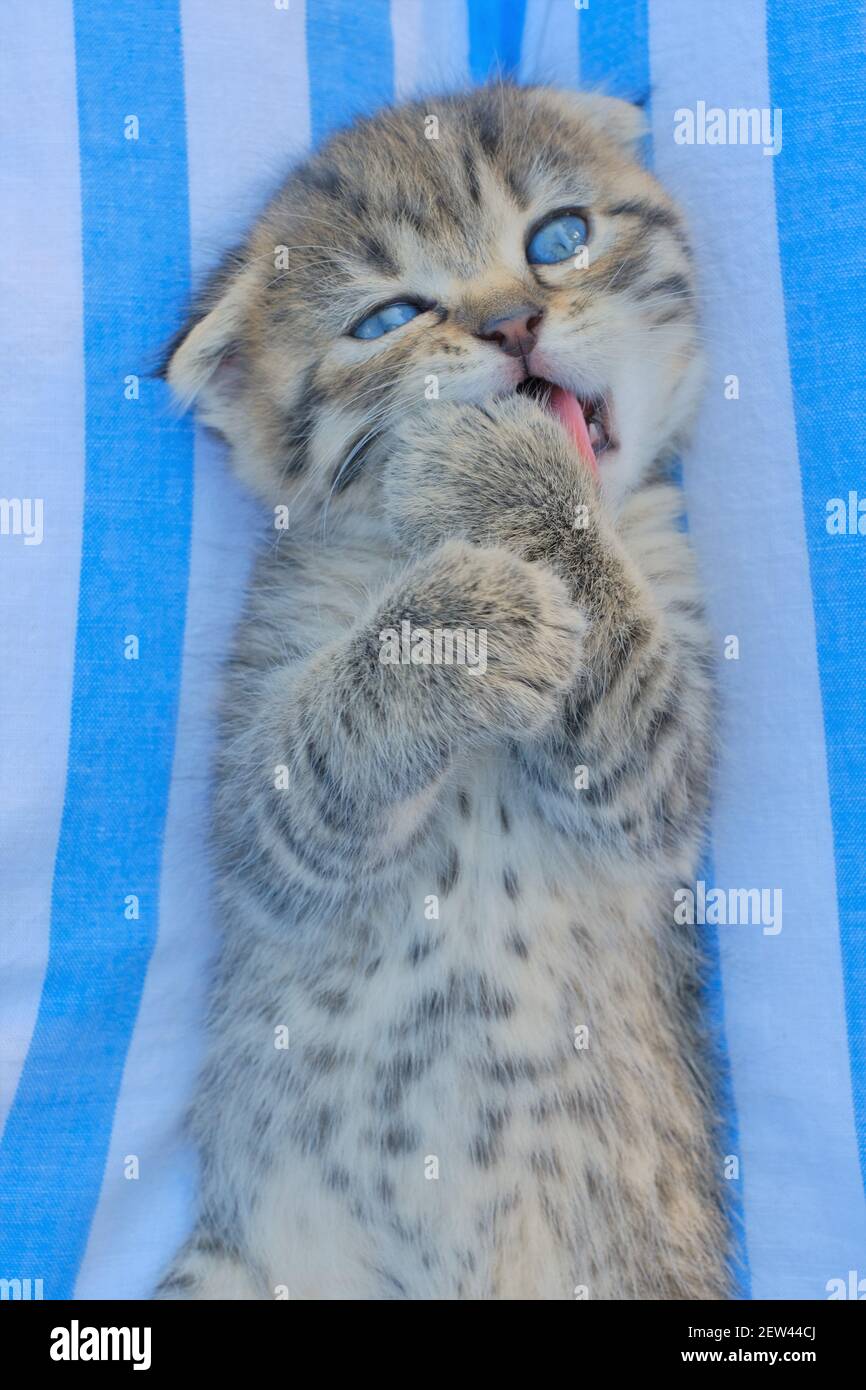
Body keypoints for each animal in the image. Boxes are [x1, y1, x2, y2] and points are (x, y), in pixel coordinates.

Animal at [154, 84, 722, 1301]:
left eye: (559, 238)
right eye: (388, 319)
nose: (512, 327)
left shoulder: (667, 769)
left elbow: (636, 715)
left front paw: (509, 480)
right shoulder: (265, 805)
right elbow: (313, 766)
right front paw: (459, 623)